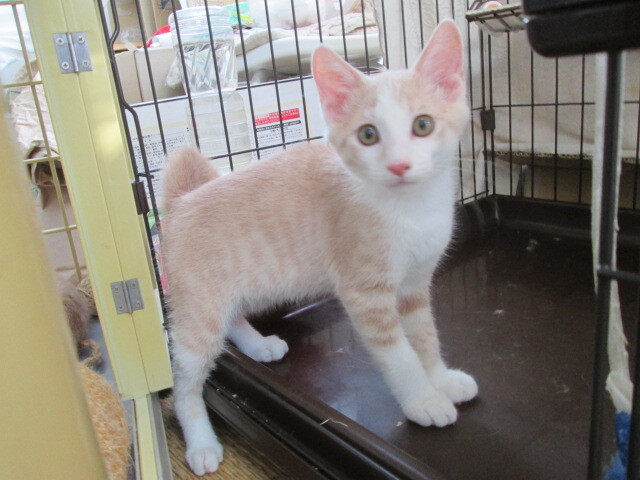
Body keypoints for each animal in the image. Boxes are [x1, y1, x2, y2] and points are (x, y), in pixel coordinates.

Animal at [161, 20, 477, 476]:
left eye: (423, 125)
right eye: (368, 135)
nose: (399, 165)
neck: (411, 210)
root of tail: (181, 202)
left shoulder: (415, 285)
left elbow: (424, 337)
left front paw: (441, 379)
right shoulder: (364, 291)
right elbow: (399, 355)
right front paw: (423, 400)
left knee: (232, 315)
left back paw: (259, 345)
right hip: (198, 306)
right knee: (187, 379)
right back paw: (201, 442)